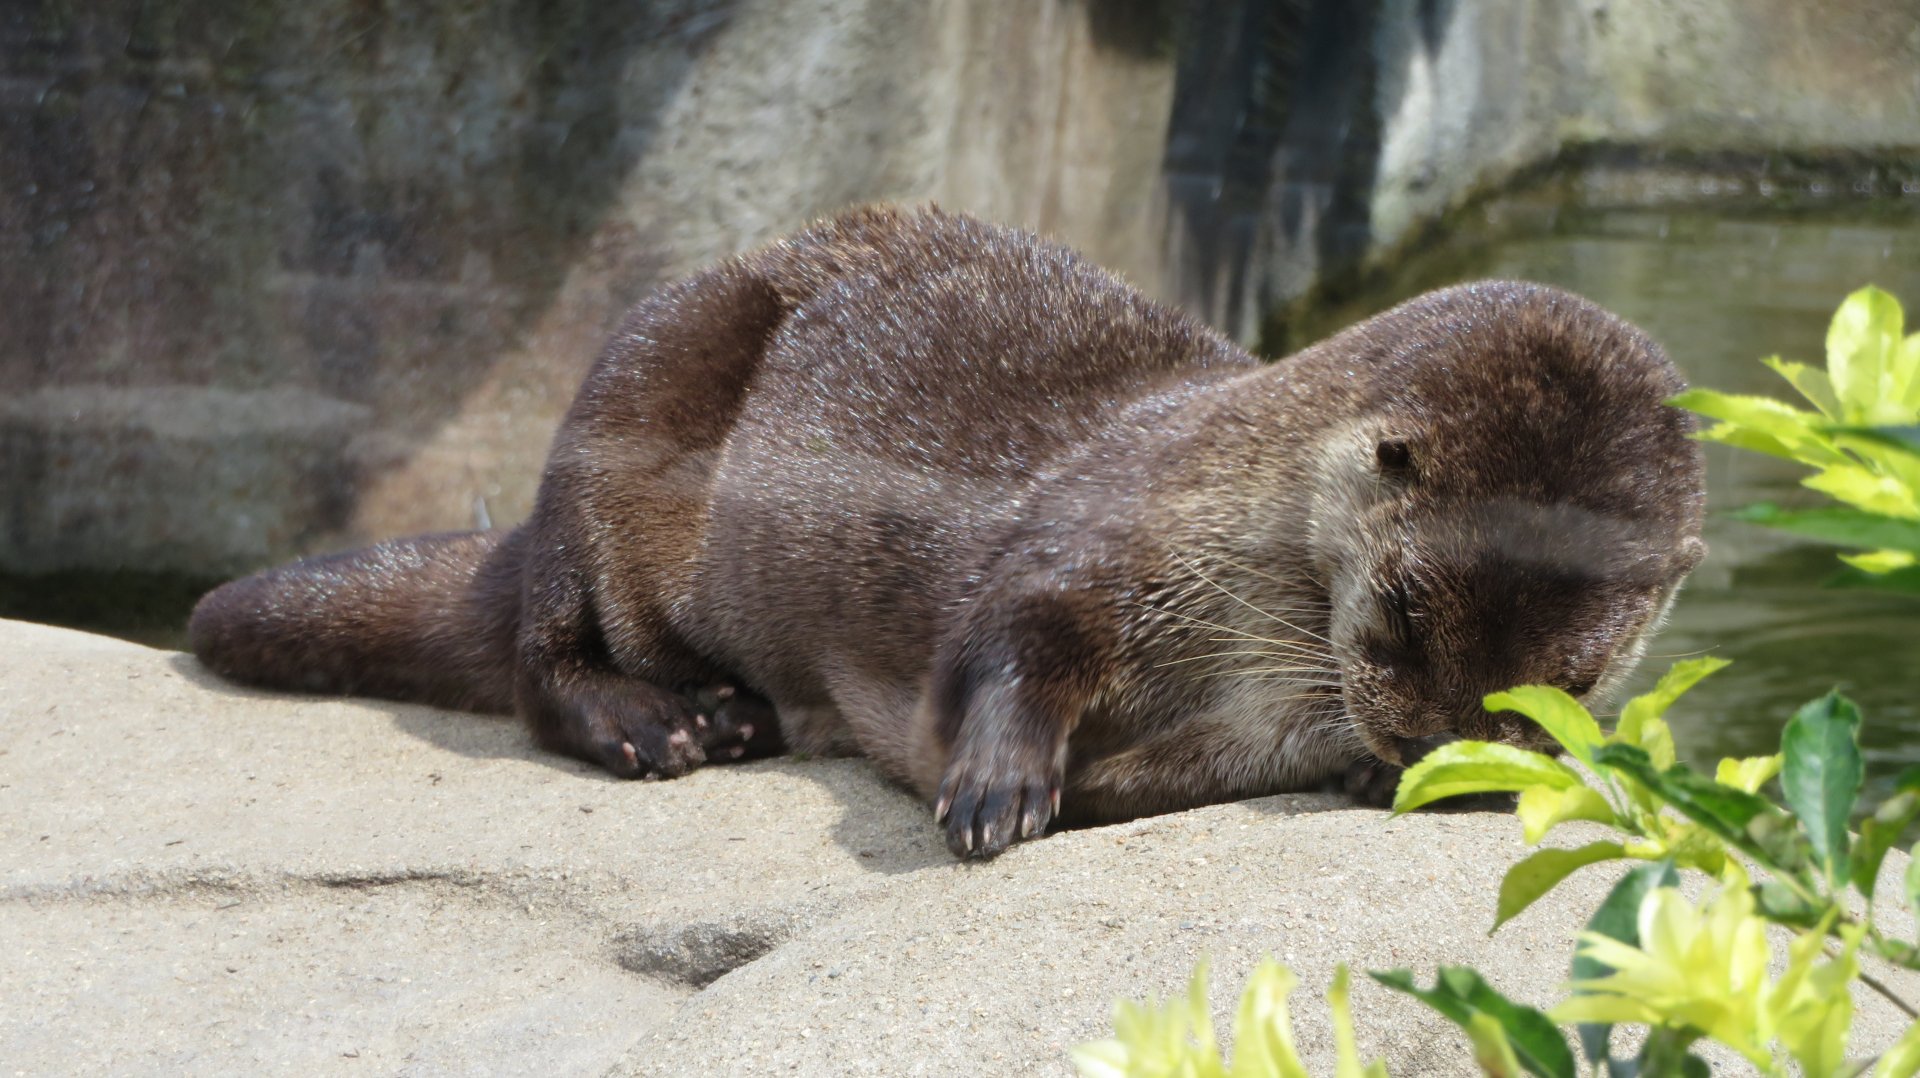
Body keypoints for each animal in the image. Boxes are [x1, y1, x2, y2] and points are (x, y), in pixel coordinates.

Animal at [190, 205, 1706, 858]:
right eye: (1396, 618)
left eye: (1566, 689)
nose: (1443, 757)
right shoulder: (1096, 534)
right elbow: (1007, 640)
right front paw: (997, 785)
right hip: (628, 393)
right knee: (534, 646)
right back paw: (665, 723)